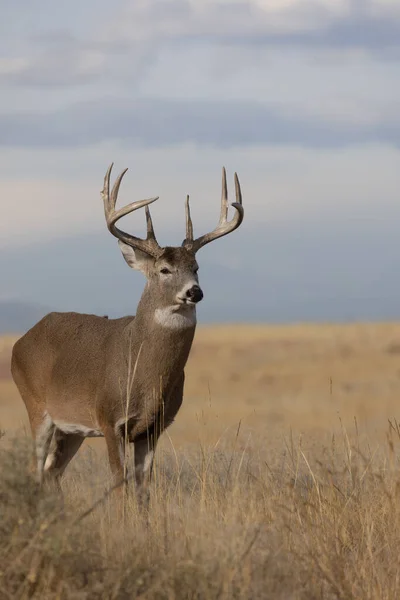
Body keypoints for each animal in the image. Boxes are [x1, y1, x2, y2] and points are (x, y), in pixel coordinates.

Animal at [11, 162, 244, 504]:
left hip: (70, 427)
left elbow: (143, 489)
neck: (142, 371)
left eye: (196, 267)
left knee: (53, 471)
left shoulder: (152, 427)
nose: (195, 292)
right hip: (36, 405)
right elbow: (119, 485)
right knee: (35, 468)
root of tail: (21, 341)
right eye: (164, 270)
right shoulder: (109, 418)